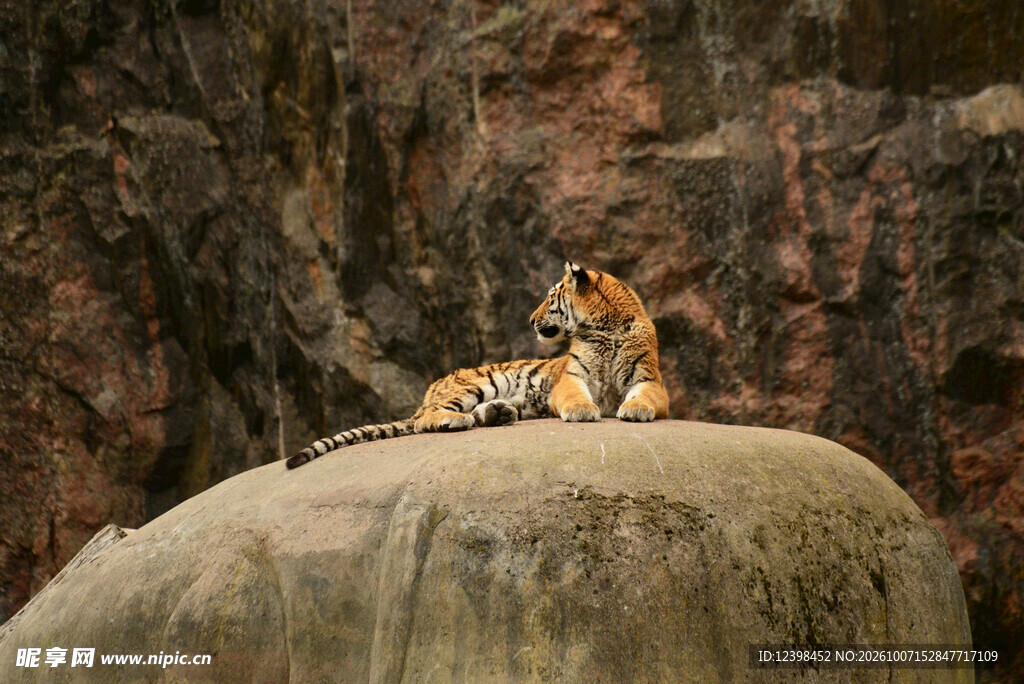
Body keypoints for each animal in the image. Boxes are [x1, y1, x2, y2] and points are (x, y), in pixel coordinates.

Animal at [285, 262, 669, 468]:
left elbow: (644, 397)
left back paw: (499, 414)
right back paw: (458, 420)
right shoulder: (572, 378)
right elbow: (576, 396)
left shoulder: (651, 381)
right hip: (476, 384)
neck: (603, 328)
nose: (530, 320)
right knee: (427, 419)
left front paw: (634, 410)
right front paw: (582, 411)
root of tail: (429, 391)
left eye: (550, 297)